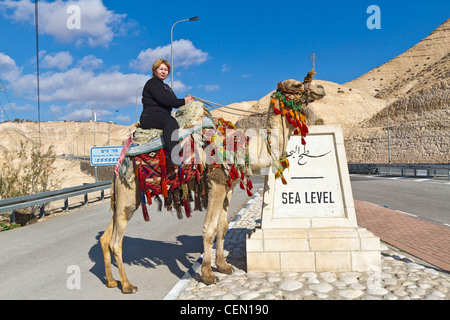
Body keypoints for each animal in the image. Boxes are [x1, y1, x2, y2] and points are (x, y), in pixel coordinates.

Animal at [99, 75, 324, 292]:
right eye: (296, 84)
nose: (320, 88)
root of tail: (119, 164)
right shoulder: (216, 183)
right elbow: (209, 228)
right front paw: (207, 275)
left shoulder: (228, 185)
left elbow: (222, 226)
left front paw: (223, 266)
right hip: (128, 190)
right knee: (116, 241)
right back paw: (127, 285)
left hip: (127, 196)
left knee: (107, 234)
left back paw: (110, 281)